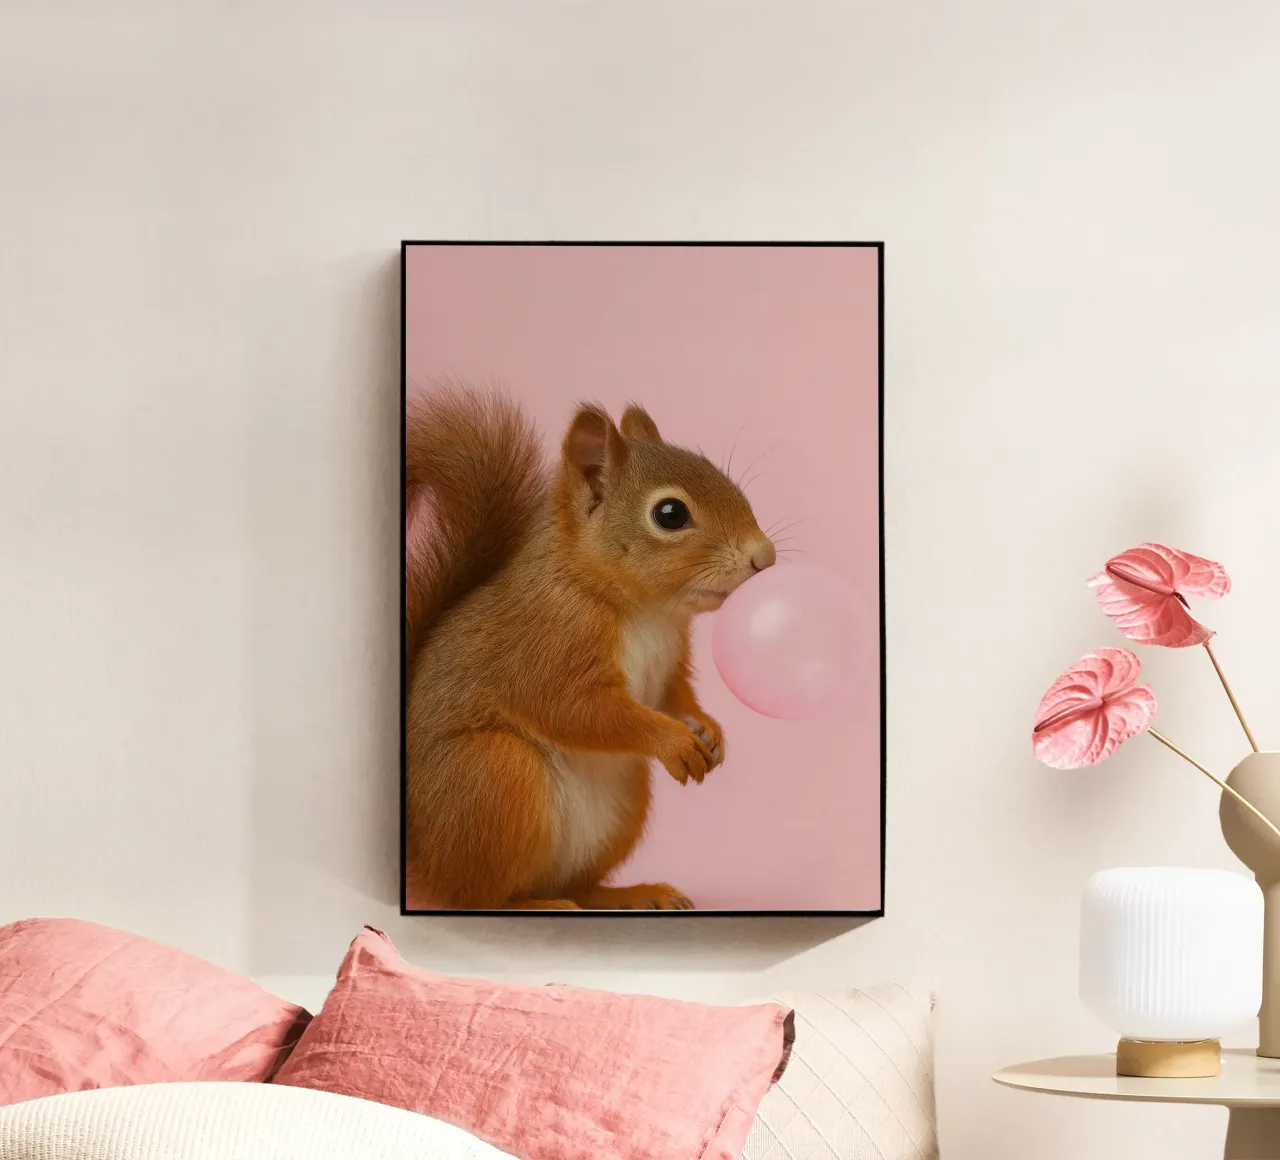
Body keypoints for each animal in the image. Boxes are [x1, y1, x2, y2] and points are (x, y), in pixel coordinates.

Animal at [404, 385, 775, 910]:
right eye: (670, 514)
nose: (766, 557)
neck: (646, 612)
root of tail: (428, 865)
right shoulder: (549, 644)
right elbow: (578, 709)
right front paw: (675, 741)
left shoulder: (672, 661)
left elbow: (673, 697)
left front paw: (706, 728)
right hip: (495, 777)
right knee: (477, 898)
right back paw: (535, 905)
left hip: (623, 803)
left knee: (576, 885)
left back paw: (634, 894)